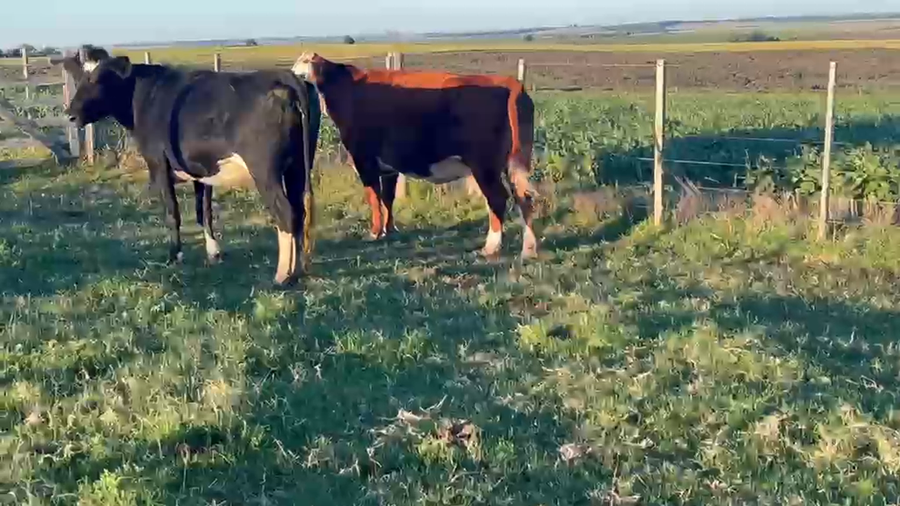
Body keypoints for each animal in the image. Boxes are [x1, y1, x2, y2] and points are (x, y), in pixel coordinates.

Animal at [63, 45, 321, 287]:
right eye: (81, 78)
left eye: (98, 79)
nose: (70, 115)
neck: (146, 97)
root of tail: (286, 76)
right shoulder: (202, 170)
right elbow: (203, 212)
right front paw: (213, 253)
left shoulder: (159, 164)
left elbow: (172, 213)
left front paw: (174, 256)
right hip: (298, 166)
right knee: (299, 211)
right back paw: (298, 270)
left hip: (265, 171)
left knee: (285, 213)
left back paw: (281, 276)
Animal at [291, 52, 538, 260]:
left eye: (303, 62)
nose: (292, 74)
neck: (347, 88)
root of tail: (511, 83)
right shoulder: (388, 166)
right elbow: (388, 198)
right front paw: (389, 229)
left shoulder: (364, 160)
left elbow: (374, 197)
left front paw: (374, 232)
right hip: (513, 162)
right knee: (523, 198)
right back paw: (528, 249)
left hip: (484, 165)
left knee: (497, 199)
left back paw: (491, 246)